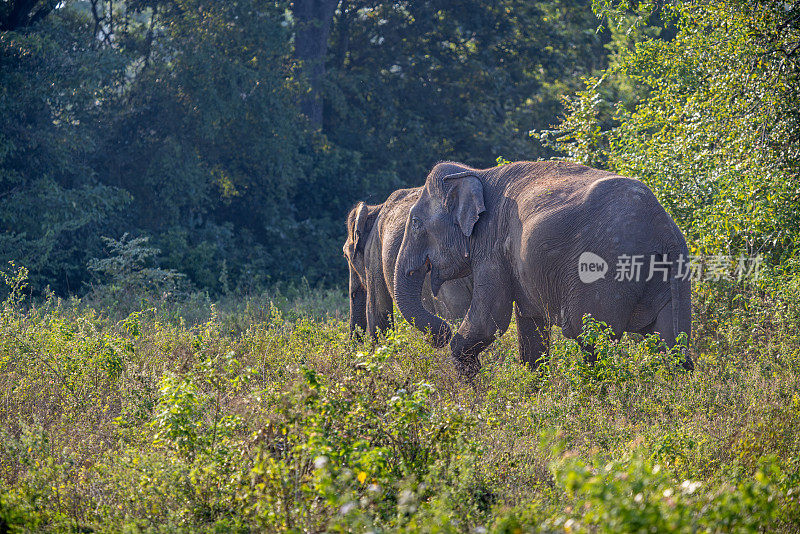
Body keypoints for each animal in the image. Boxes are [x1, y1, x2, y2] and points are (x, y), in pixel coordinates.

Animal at [394, 161, 692, 378]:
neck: (476, 173)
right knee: (671, 344)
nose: (441, 332)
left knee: (590, 338)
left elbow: (490, 320)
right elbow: (530, 326)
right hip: (670, 275)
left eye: (416, 223)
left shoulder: (492, 247)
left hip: (606, 269)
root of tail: (663, 227)